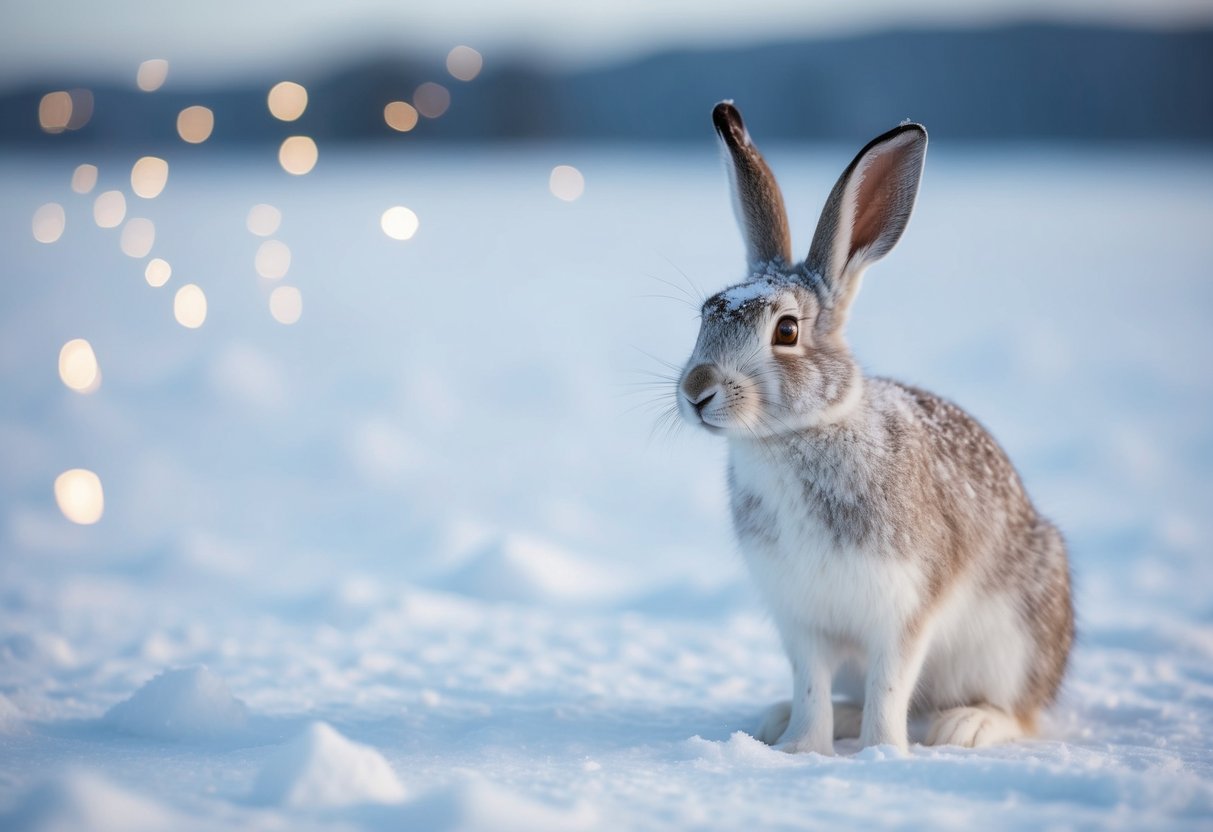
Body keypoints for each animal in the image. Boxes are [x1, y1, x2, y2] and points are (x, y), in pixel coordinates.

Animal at [676, 101, 1073, 753]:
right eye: (706, 315)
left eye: (786, 331)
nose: (695, 391)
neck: (795, 437)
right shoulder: (801, 619)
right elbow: (811, 683)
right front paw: (799, 748)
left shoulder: (905, 606)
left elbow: (891, 683)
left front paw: (881, 753)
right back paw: (783, 720)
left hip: (1014, 643)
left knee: (1017, 710)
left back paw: (966, 727)